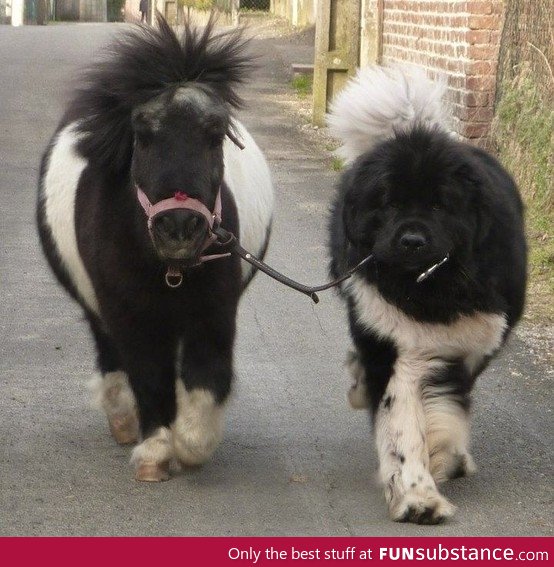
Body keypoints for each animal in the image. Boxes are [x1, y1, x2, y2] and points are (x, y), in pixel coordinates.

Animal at [36, 16, 272, 484]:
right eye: (142, 136)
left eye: (214, 135)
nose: (179, 228)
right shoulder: (129, 313)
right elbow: (148, 375)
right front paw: (156, 452)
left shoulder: (214, 313)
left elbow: (206, 377)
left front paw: (190, 445)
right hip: (99, 308)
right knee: (112, 357)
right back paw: (124, 422)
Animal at [328, 65, 528, 524]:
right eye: (387, 202)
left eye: (440, 205)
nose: (412, 240)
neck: (432, 290)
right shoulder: (398, 344)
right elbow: (402, 424)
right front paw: (418, 497)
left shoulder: (470, 342)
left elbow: (446, 410)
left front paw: (442, 457)